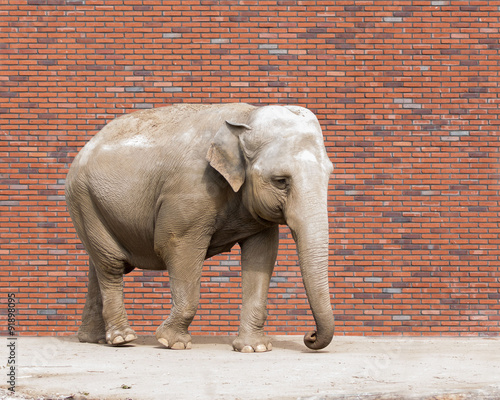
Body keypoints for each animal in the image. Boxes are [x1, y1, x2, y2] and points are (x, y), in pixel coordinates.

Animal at [65, 103, 332, 354]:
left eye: (329, 175)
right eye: (281, 181)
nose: (310, 336)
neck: (246, 117)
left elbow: (262, 255)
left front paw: (254, 348)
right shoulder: (190, 188)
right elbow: (175, 245)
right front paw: (171, 342)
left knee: (97, 267)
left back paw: (94, 339)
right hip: (83, 200)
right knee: (112, 265)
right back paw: (123, 339)